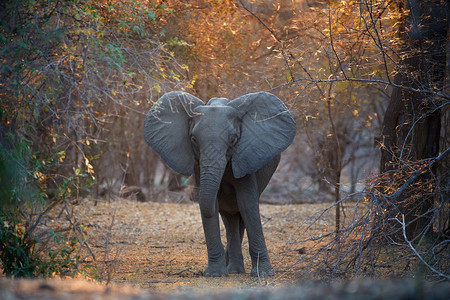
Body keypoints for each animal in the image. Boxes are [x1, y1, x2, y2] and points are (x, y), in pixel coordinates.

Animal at [143, 91, 296, 276]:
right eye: (193, 139)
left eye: (233, 140)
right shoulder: (199, 166)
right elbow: (212, 204)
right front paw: (215, 273)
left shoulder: (246, 157)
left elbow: (247, 205)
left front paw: (264, 274)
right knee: (229, 216)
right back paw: (233, 269)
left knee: (239, 213)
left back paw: (235, 268)